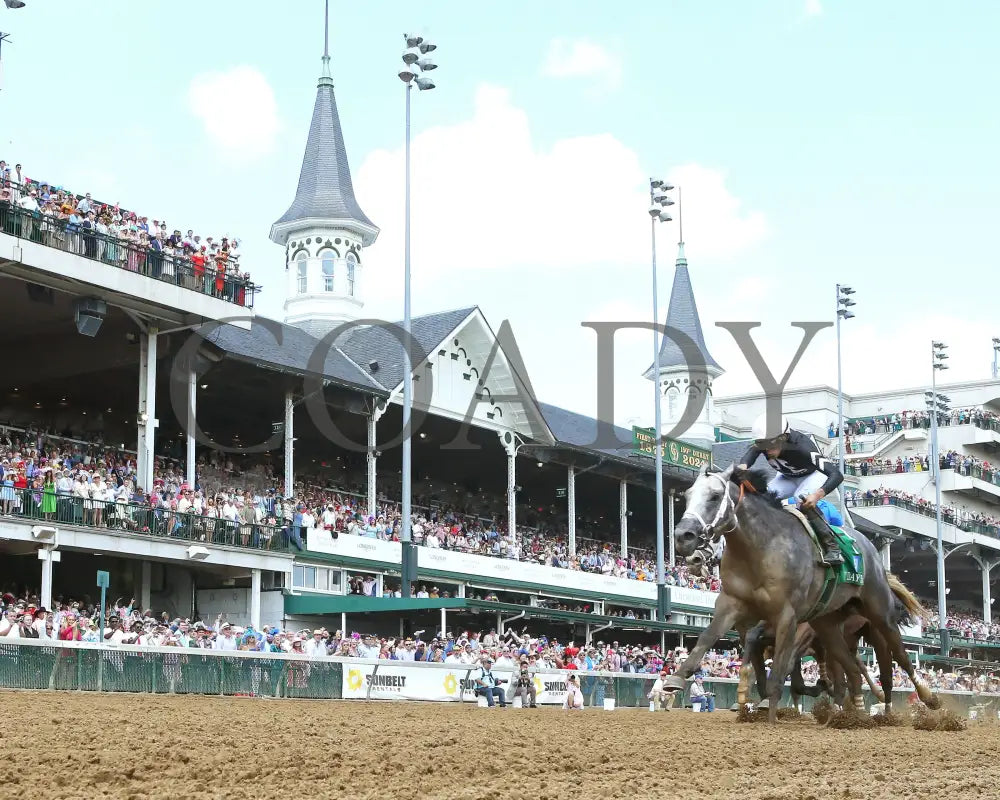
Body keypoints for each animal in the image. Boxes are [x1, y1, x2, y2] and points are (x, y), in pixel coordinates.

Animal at [664, 462, 936, 720]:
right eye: (687, 495)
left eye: (715, 496)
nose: (683, 536)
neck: (759, 549)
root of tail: (871, 549)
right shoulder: (732, 604)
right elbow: (708, 638)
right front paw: (677, 679)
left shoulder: (788, 616)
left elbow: (779, 673)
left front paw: (770, 715)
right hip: (828, 625)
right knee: (852, 671)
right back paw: (853, 712)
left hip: (879, 616)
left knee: (897, 660)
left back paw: (921, 699)